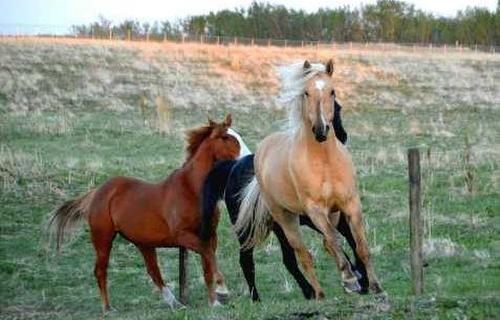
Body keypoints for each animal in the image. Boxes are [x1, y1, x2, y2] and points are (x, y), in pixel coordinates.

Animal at [47, 115, 239, 312]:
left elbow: (208, 264)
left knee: (153, 271)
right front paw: (223, 290)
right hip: (103, 238)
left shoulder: (209, 234)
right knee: (101, 270)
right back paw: (108, 308)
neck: (191, 189)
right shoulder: (183, 236)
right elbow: (208, 256)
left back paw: (175, 303)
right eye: (225, 137)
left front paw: (214, 302)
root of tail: (97, 192)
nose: (245, 156)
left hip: (143, 243)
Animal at [199, 102, 368, 300]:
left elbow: (346, 241)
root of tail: (233, 166)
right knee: (246, 259)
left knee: (288, 260)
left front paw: (358, 277)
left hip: (280, 227)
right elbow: (343, 241)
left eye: (338, 108)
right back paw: (256, 298)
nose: (342, 136)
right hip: (248, 230)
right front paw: (359, 279)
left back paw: (308, 291)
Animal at [234, 60, 382, 300]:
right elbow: (334, 239)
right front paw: (350, 281)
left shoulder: (350, 205)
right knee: (303, 255)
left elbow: (361, 246)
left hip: (332, 214)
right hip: (286, 219)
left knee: (325, 244)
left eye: (332, 92)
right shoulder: (315, 210)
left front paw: (375, 286)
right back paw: (319, 294)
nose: (321, 131)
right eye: (306, 93)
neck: (325, 162)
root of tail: (263, 148)